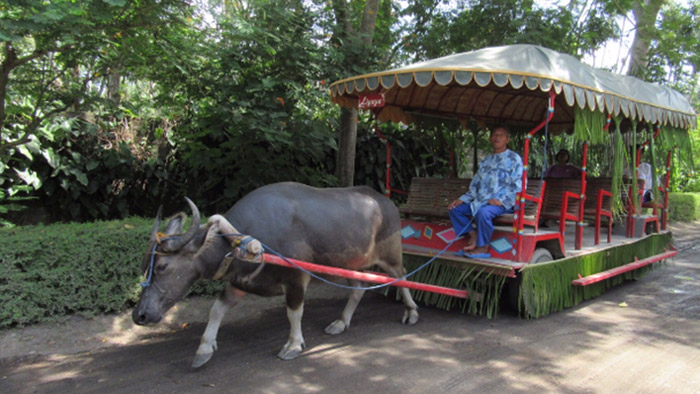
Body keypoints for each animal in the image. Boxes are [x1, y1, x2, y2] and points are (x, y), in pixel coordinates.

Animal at [133, 182, 418, 366]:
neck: (241, 241)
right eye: (145, 266)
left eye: (163, 267)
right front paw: (204, 348)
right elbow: (216, 310)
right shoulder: (240, 283)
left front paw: (293, 345)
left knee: (402, 277)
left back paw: (411, 312)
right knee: (358, 288)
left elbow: (294, 313)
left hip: (391, 256)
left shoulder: (296, 280)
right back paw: (341, 322)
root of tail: (387, 202)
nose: (140, 315)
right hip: (351, 263)